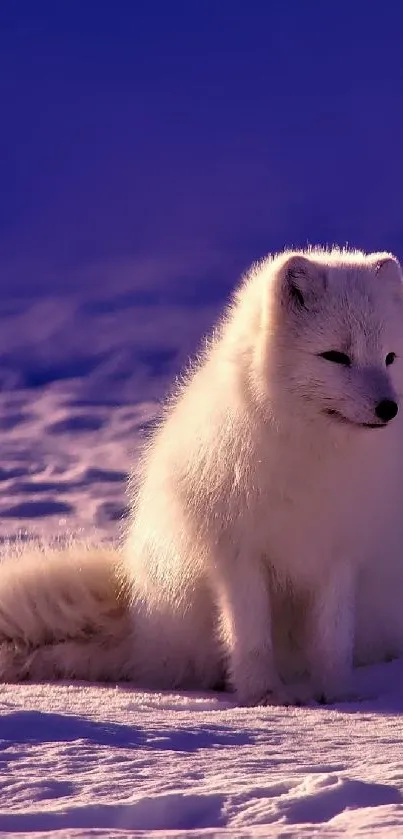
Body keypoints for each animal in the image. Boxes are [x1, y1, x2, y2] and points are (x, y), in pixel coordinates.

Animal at [0, 246, 403, 704]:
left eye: (390, 357)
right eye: (336, 356)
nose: (388, 408)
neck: (313, 454)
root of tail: (140, 622)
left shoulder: (340, 554)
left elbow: (333, 639)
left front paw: (337, 696)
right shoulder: (237, 554)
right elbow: (250, 637)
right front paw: (265, 696)